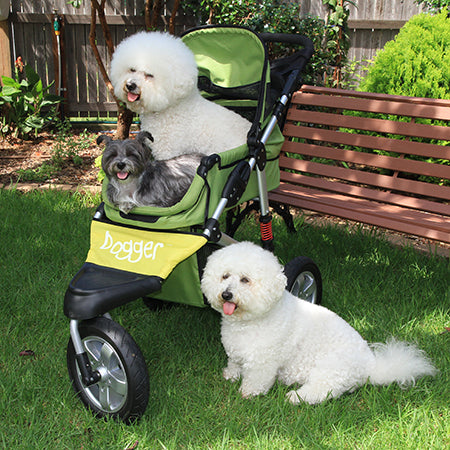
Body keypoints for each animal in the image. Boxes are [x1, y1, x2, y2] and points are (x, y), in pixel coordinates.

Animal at [200, 243, 436, 404]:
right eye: (225, 276)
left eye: (245, 280)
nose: (226, 294)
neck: (252, 319)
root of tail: (371, 367)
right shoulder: (237, 353)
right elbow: (234, 364)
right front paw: (230, 375)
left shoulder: (263, 362)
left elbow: (257, 380)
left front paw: (248, 393)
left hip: (331, 369)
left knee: (321, 391)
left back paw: (295, 397)